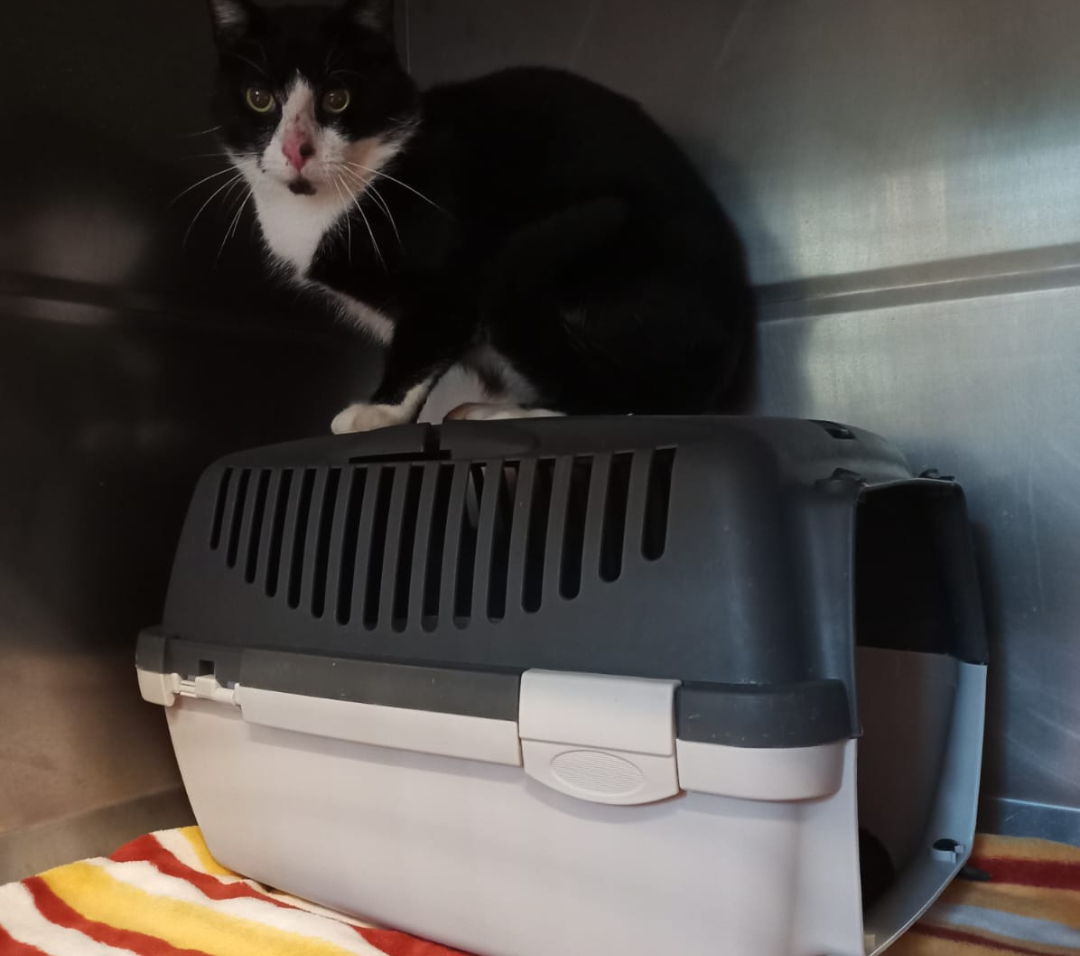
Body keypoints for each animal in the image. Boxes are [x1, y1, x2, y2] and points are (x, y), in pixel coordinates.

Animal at [206, 0, 754, 433]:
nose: (296, 149)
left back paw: (507, 413)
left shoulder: (450, 279)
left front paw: (380, 410)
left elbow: (425, 341)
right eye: (260, 99)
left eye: (336, 98)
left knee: (619, 398)